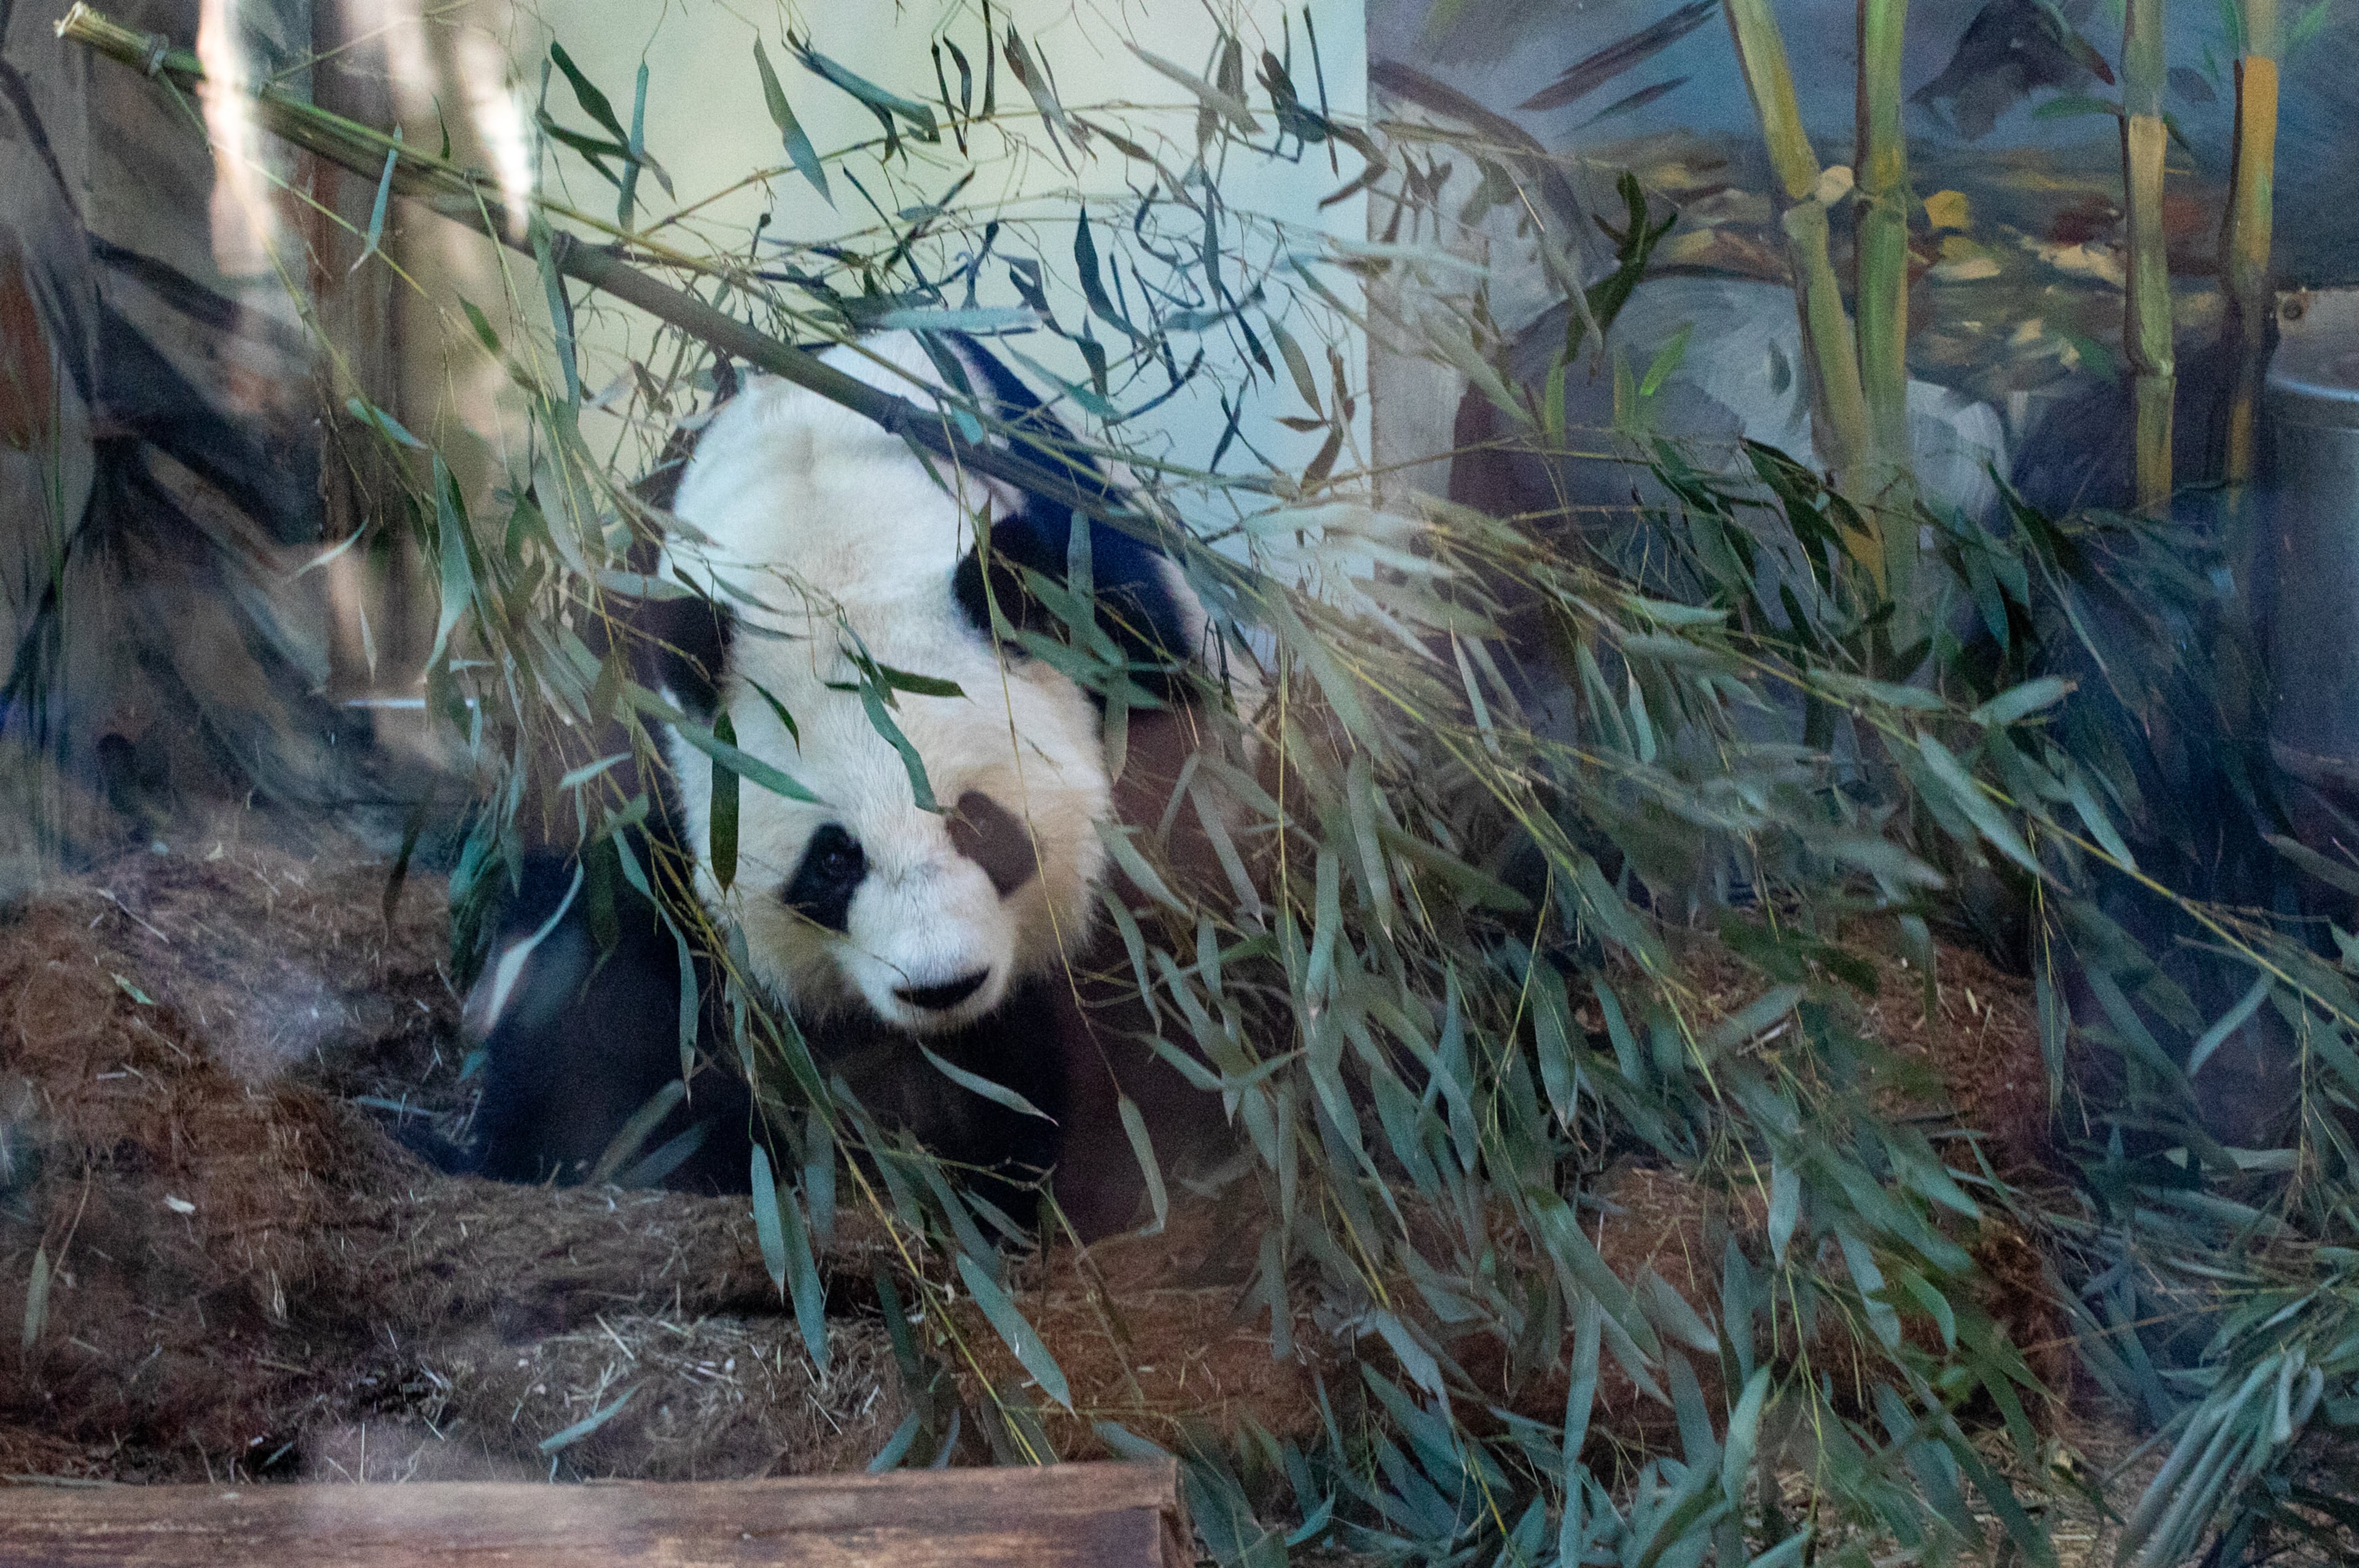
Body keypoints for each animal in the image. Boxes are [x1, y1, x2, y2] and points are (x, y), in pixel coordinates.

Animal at [446, 330, 1239, 1233]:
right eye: (834, 859)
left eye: (978, 823)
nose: (944, 985)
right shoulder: (641, 739)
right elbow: (611, 986)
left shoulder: (1121, 646)